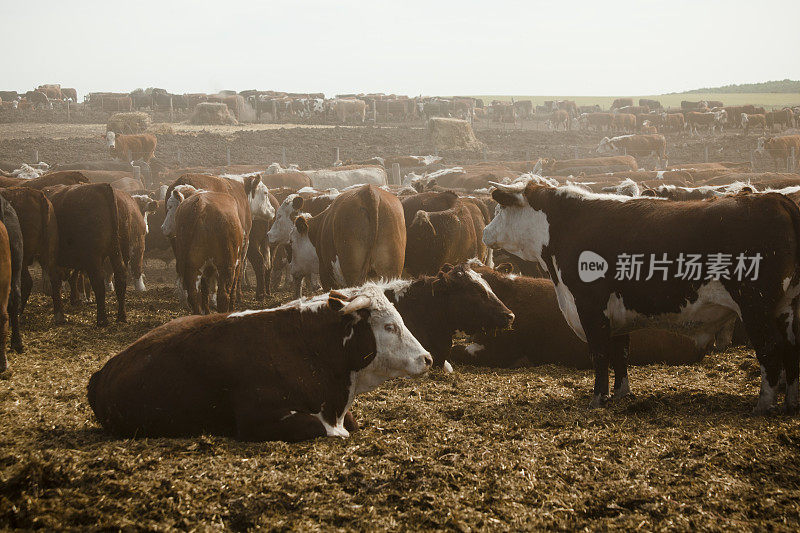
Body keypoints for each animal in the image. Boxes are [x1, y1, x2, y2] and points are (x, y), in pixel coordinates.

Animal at [44, 183, 126, 324]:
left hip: (93, 258)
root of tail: (101, 186)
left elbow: (57, 281)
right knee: (120, 276)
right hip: (114, 250)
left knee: (98, 282)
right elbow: (72, 277)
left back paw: (102, 320)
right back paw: (121, 316)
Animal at [482, 177, 800, 414]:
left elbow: (600, 353)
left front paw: (598, 399)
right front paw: (621, 394)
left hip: (755, 305)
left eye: (499, 210)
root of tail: (776, 200)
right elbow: (620, 353)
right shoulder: (616, 312)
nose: (485, 232)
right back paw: (790, 402)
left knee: (770, 349)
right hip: (785, 307)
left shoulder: (590, 306)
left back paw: (764, 404)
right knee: (790, 348)